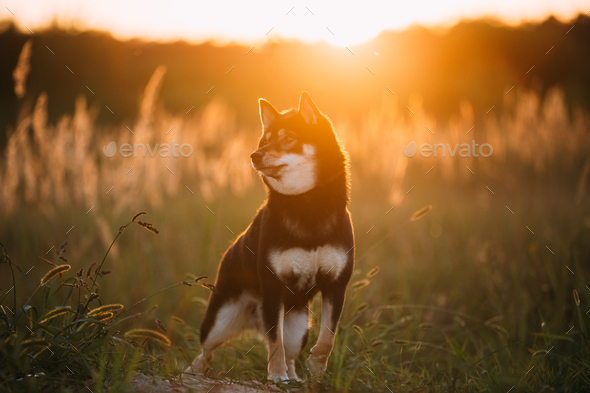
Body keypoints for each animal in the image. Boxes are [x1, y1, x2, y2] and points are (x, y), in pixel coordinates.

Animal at [187, 91, 354, 380]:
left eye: (289, 139)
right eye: (264, 141)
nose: (254, 155)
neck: (307, 206)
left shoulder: (336, 284)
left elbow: (328, 338)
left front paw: (317, 367)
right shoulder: (273, 285)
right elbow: (274, 342)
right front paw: (276, 376)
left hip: (298, 328)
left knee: (291, 353)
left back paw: (294, 377)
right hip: (220, 321)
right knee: (205, 351)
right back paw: (193, 372)